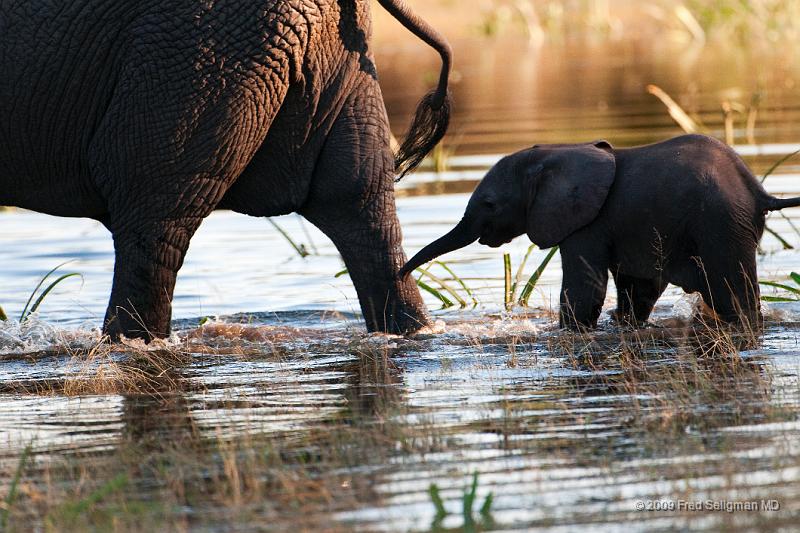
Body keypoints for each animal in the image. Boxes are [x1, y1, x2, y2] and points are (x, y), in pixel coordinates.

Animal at [404, 135, 800, 326]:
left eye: (489, 204)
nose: (402, 272)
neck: (554, 154)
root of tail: (759, 192)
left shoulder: (587, 224)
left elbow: (585, 292)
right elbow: (639, 288)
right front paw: (623, 322)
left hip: (722, 224)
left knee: (735, 296)